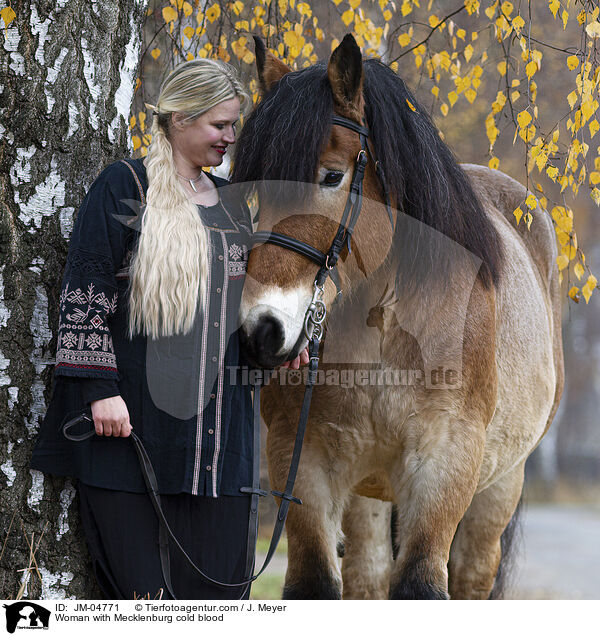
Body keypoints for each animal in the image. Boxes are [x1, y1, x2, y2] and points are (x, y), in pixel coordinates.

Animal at [230, 33, 564, 600]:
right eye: (258, 190)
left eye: (332, 176)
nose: (262, 330)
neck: (387, 323)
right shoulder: (302, 461)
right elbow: (316, 581)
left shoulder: (444, 464)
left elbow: (422, 583)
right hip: (368, 491)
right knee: (368, 575)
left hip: (500, 485)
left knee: (471, 575)